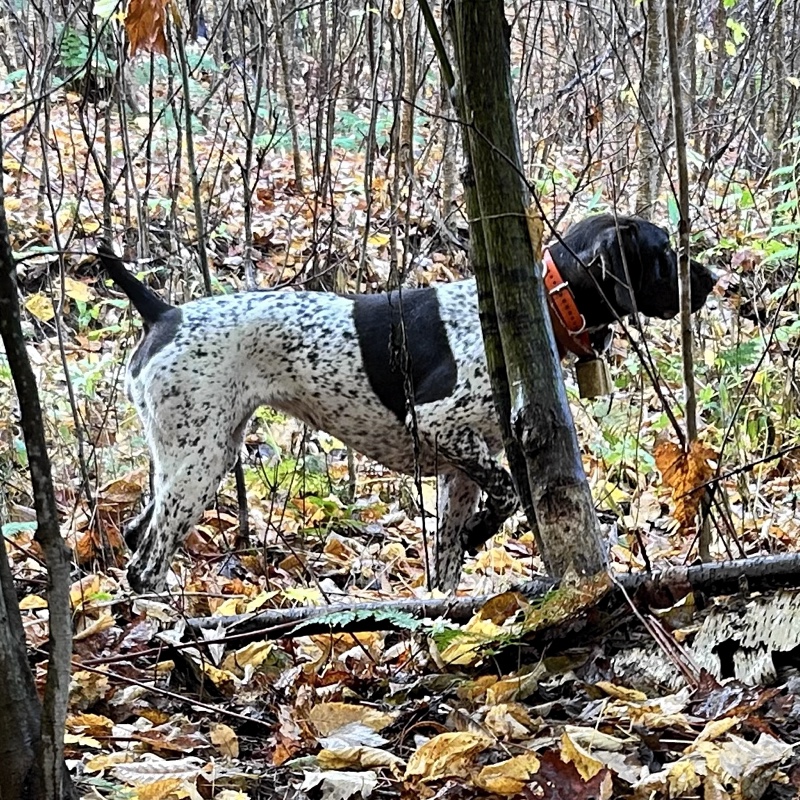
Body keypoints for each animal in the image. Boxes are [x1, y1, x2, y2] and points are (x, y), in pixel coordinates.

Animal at [97, 214, 716, 592]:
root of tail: (164, 312)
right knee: (146, 561)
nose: (714, 279)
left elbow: (449, 557)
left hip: (197, 458)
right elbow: (508, 495)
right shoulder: (440, 424)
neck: (544, 304)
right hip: (198, 464)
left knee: (134, 536)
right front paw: (480, 534)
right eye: (664, 252)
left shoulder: (461, 470)